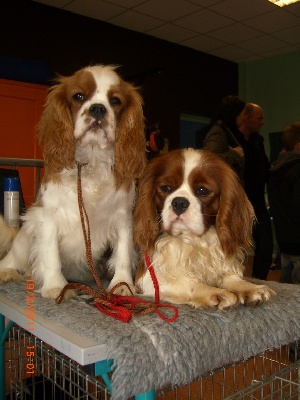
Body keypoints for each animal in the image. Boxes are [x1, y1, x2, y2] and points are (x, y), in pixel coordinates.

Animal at [0, 64, 146, 298]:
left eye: (115, 101)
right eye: (78, 96)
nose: (98, 109)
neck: (91, 161)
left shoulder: (123, 217)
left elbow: (123, 254)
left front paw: (122, 285)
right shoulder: (48, 216)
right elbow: (51, 255)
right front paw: (56, 286)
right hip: (26, 231)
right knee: (12, 259)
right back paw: (9, 272)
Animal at [135, 148, 276, 310]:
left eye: (202, 190)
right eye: (166, 188)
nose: (179, 202)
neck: (195, 240)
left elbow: (229, 277)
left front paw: (249, 287)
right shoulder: (148, 280)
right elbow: (189, 284)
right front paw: (215, 292)